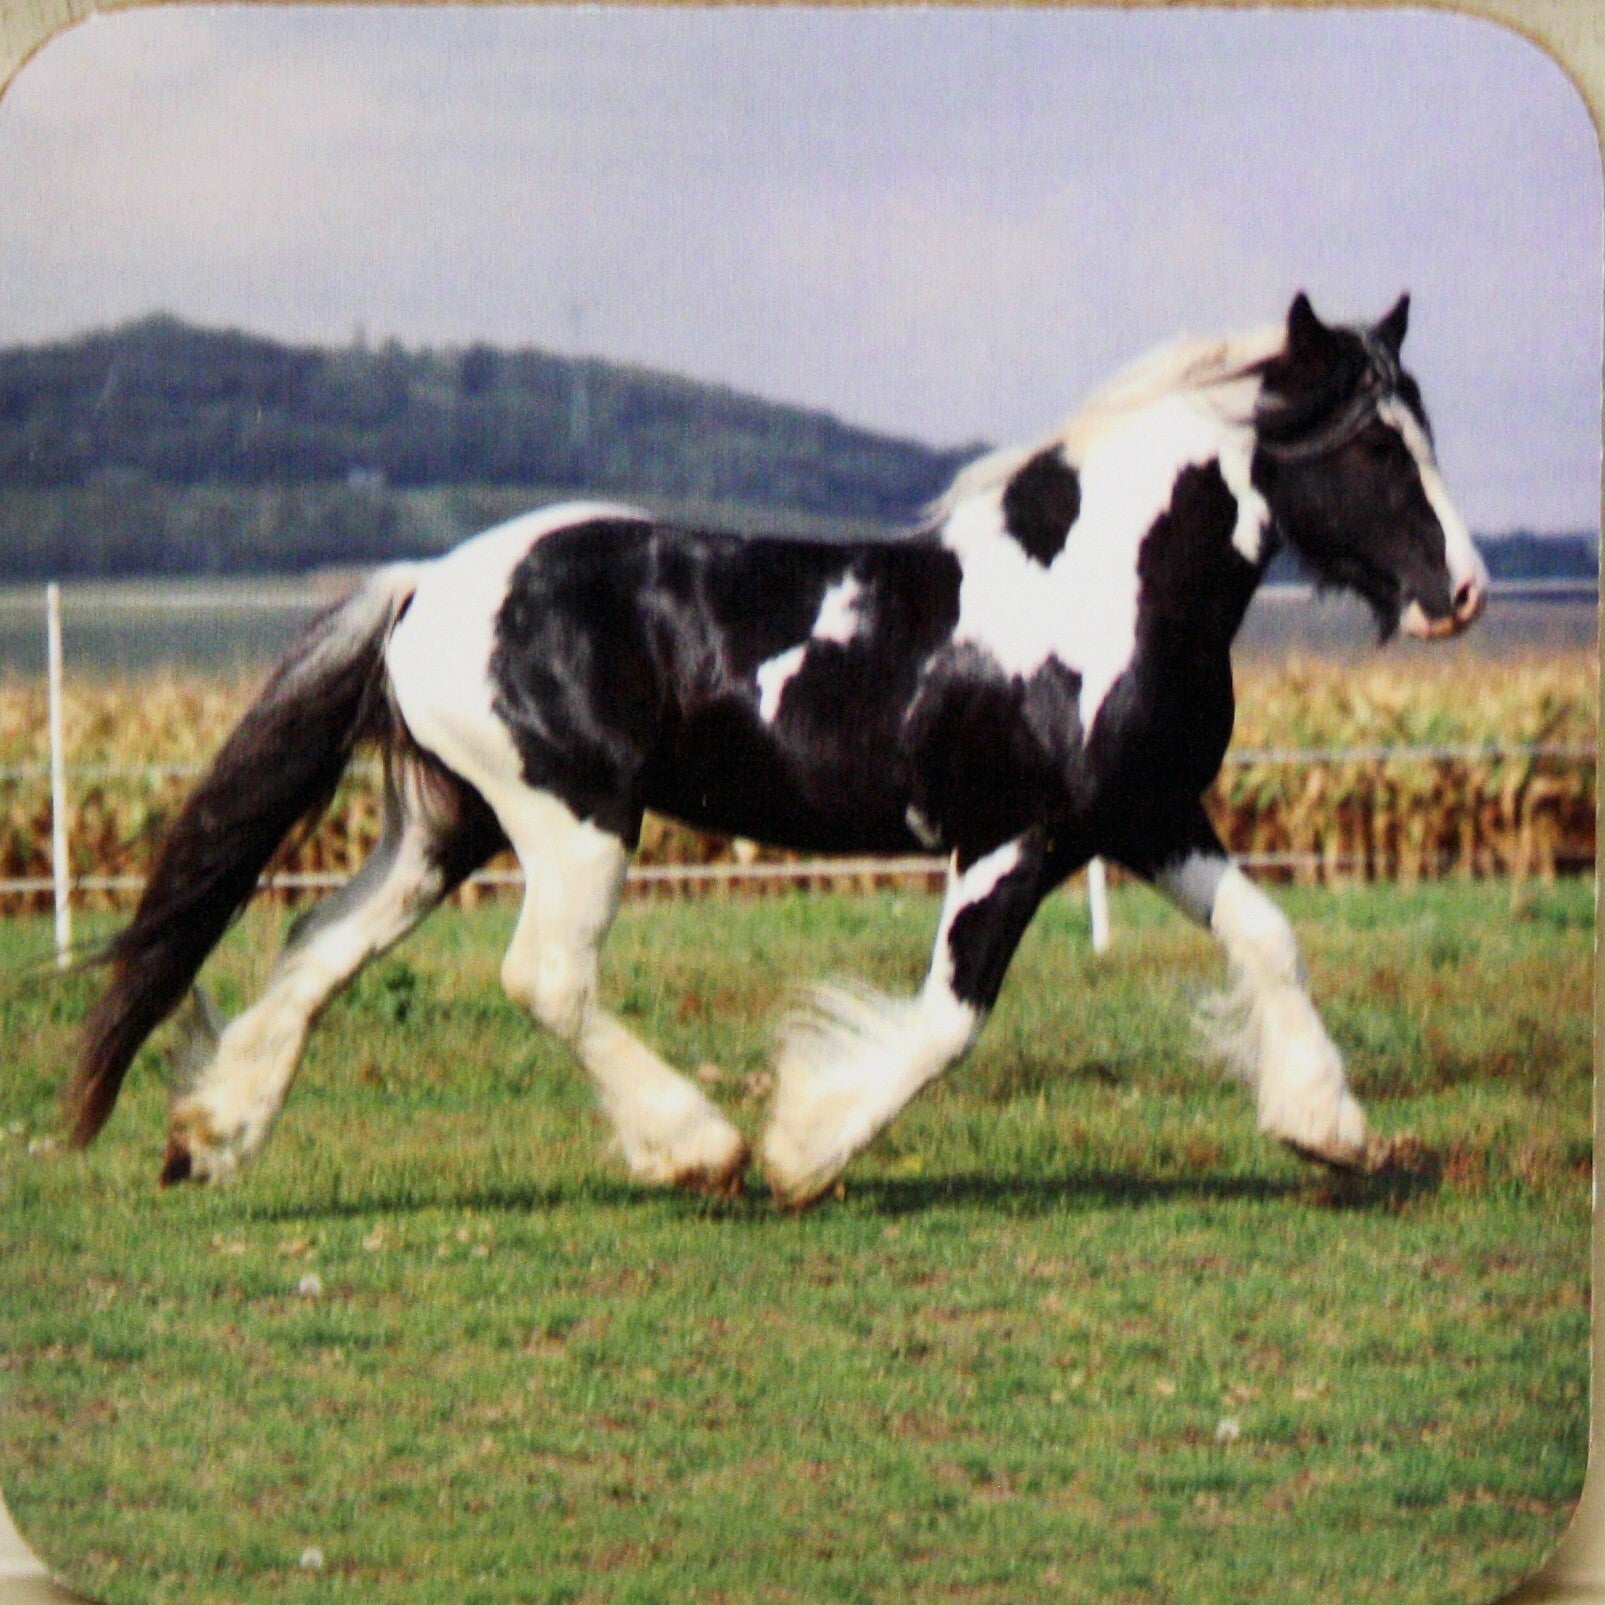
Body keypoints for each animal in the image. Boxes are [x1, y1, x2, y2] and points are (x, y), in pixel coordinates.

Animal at [65, 292, 1486, 1208]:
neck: (1097, 590)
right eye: (1373, 441)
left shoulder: (1148, 817)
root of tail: (428, 584)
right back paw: (704, 1152)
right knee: (544, 977)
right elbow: (947, 1021)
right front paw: (807, 1148)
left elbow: (1269, 935)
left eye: (1427, 426)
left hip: (446, 824)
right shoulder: (1011, 840)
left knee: (320, 944)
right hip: (571, 821)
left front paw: (1332, 1132)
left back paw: (208, 1135)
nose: (1463, 593)